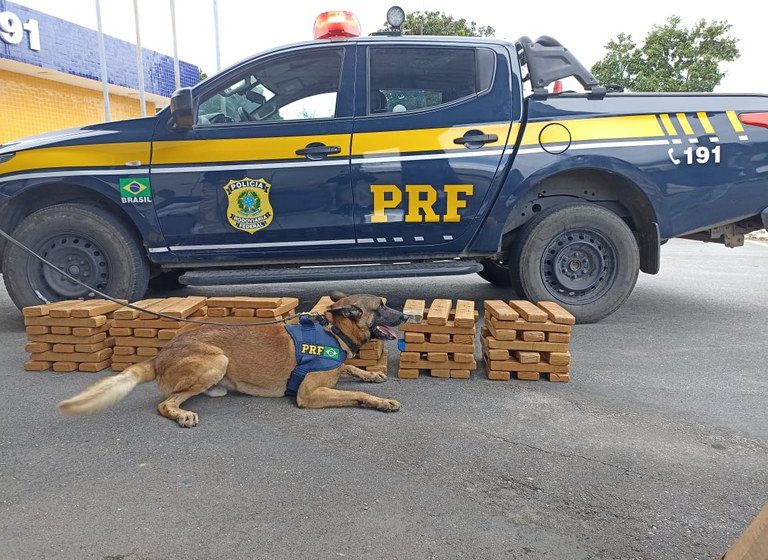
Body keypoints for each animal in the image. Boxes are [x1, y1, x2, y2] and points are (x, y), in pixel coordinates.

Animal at [58, 294, 408, 428]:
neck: (334, 331)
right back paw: (181, 414)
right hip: (217, 360)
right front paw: (381, 402)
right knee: (165, 403)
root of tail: (160, 355)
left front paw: (369, 374)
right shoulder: (309, 394)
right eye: (381, 307)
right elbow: (356, 393)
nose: (405, 316)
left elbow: (350, 368)